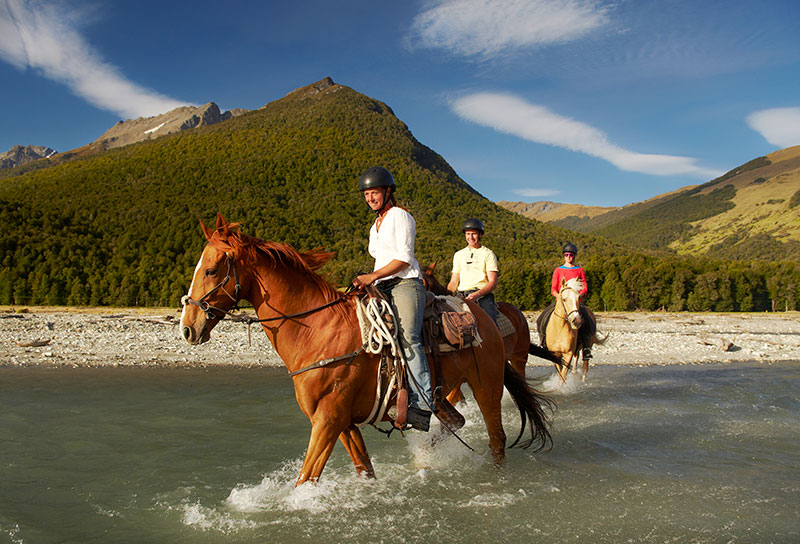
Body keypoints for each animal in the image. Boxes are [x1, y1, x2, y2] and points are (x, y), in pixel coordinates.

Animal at [181, 215, 552, 486]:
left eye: (211, 269)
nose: (188, 327)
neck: (318, 329)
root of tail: (482, 317)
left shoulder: (328, 420)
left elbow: (306, 478)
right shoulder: (343, 422)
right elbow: (363, 469)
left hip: (486, 385)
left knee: (497, 439)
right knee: (456, 422)